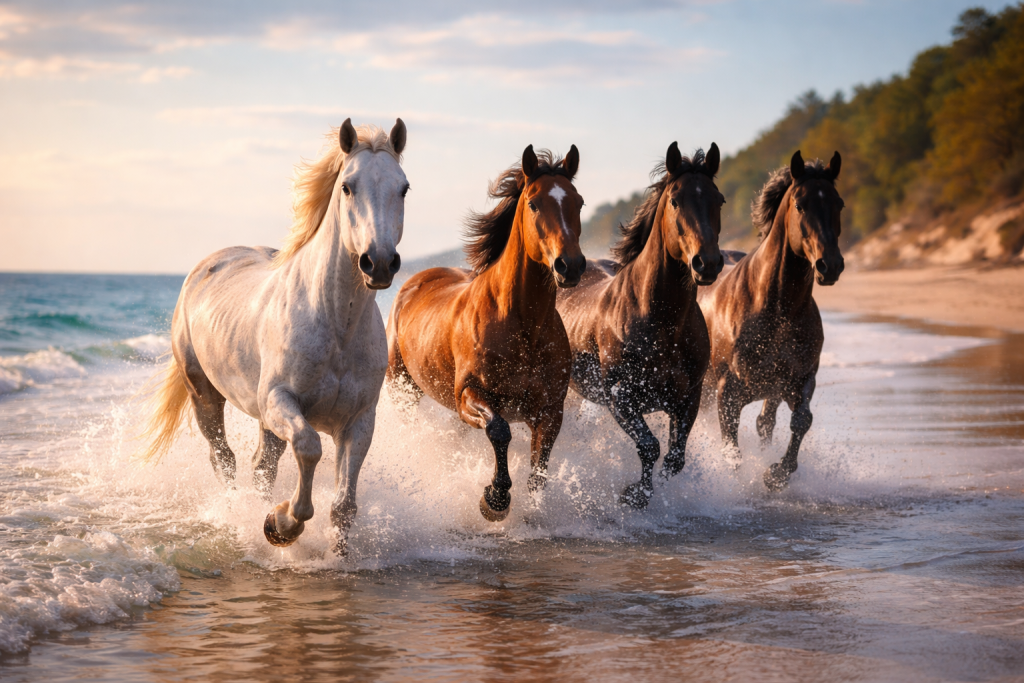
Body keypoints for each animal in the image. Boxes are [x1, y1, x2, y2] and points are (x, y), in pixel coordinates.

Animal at [139, 118, 409, 552]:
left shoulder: (359, 422)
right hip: (205, 395)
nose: (379, 262)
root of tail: (205, 266)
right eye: (347, 186)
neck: (335, 325)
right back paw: (238, 512)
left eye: (403, 188)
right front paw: (281, 525)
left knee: (261, 466)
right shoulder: (279, 402)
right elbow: (309, 448)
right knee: (224, 458)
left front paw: (336, 554)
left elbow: (344, 506)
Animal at [386, 144, 585, 522]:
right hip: (401, 389)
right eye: (534, 203)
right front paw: (494, 499)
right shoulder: (469, 394)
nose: (570, 266)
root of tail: (413, 283)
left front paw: (532, 512)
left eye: (578, 202)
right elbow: (499, 430)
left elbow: (539, 469)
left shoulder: (551, 410)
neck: (522, 327)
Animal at [556, 142, 724, 509]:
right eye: (675, 200)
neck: (661, 323)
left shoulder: (688, 398)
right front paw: (634, 496)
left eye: (718, 199)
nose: (707, 263)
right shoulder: (621, 397)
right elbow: (650, 447)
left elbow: (674, 459)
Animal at [697, 150, 844, 491]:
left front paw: (775, 473)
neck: (777, 310)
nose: (830, 266)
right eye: (800, 205)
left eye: (839, 204)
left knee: (766, 423)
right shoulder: (727, 392)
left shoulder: (798, 381)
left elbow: (801, 421)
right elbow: (731, 449)